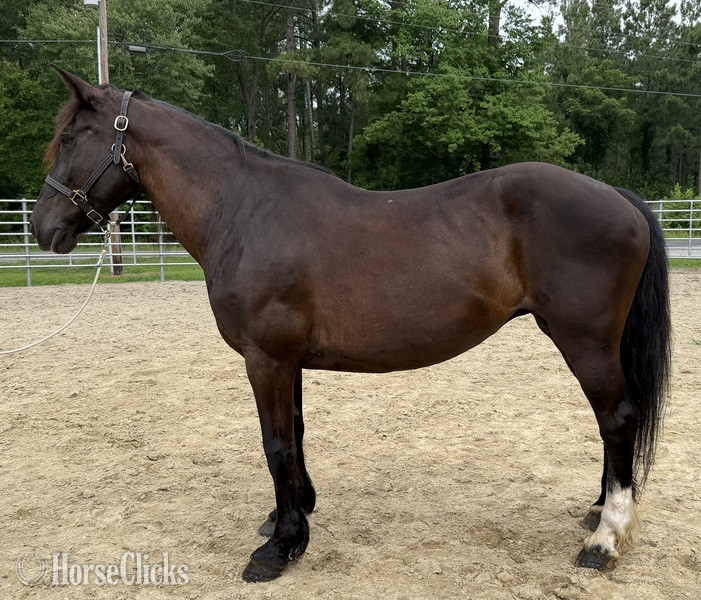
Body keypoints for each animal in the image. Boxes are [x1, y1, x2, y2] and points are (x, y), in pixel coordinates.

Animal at [30, 67, 671, 582]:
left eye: (71, 137)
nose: (42, 228)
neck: (243, 212)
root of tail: (616, 195)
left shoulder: (265, 359)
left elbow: (275, 444)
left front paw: (281, 548)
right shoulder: (286, 362)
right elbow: (295, 434)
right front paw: (289, 515)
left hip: (585, 342)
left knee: (617, 419)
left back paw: (604, 540)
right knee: (613, 426)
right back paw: (599, 509)